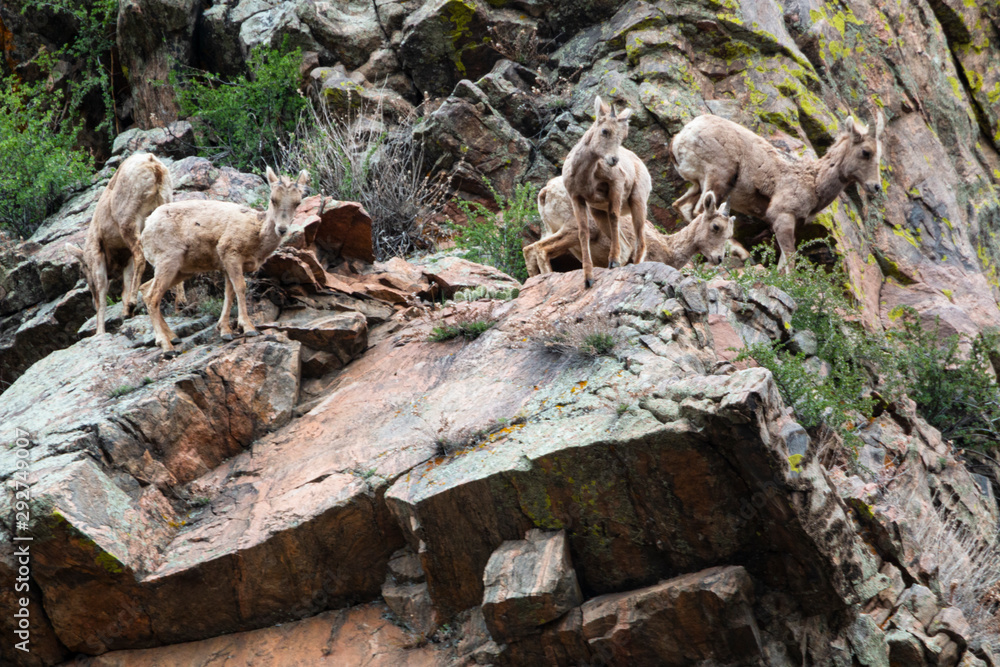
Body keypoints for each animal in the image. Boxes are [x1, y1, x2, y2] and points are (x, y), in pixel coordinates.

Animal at [65, 152, 175, 335]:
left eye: (83, 269)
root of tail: (153, 165)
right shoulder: (126, 260)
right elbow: (126, 284)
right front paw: (126, 314)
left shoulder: (98, 258)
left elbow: (102, 298)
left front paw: (100, 332)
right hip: (164, 207)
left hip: (129, 223)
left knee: (141, 257)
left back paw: (132, 303)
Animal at [139, 167, 309, 353]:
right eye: (273, 199)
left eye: (297, 202)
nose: (282, 229)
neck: (257, 234)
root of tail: (146, 226)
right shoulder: (230, 253)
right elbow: (240, 288)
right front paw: (248, 328)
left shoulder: (227, 265)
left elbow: (229, 293)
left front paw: (225, 331)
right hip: (168, 261)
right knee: (153, 296)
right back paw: (166, 345)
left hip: (181, 270)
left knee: (146, 289)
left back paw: (173, 337)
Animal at [523, 176, 736, 277]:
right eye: (716, 226)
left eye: (730, 233)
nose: (718, 258)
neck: (668, 248)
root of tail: (546, 192)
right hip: (575, 230)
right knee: (540, 250)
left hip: (550, 229)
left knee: (529, 249)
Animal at [562, 96, 652, 288]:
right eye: (605, 131)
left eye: (623, 136)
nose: (614, 160)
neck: (585, 176)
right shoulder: (577, 198)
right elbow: (583, 232)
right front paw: (588, 279)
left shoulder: (616, 185)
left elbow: (614, 217)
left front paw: (614, 261)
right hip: (598, 213)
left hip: (637, 202)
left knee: (640, 242)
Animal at [670, 112, 885, 270]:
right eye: (866, 152)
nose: (876, 187)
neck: (813, 182)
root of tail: (682, 135)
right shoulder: (783, 217)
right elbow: (789, 260)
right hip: (717, 180)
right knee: (700, 212)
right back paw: (739, 253)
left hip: (698, 185)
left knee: (682, 207)